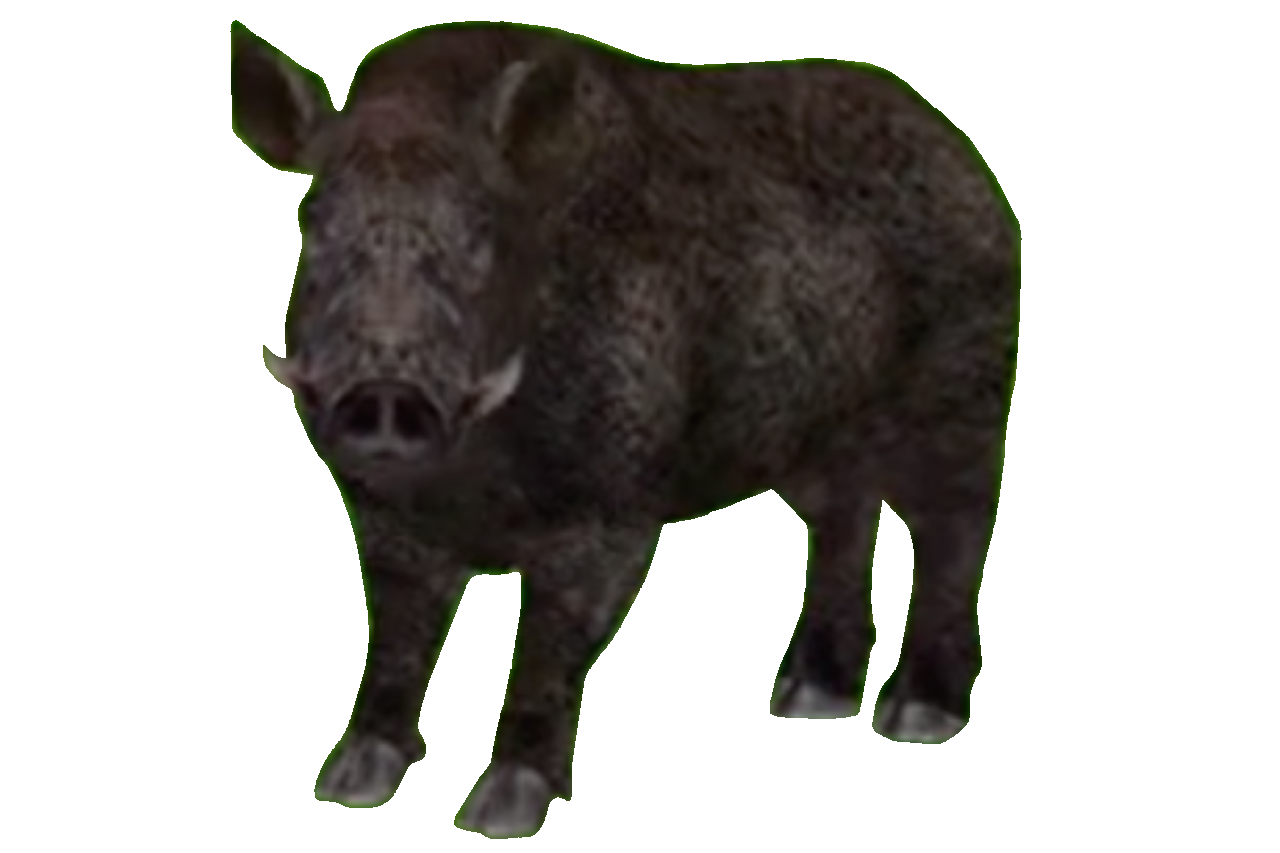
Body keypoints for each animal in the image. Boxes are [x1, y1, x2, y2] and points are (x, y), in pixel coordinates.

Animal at [233, 24, 1018, 836]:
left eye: (481, 230)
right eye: (314, 221)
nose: (385, 390)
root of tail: (968, 160)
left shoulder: (612, 504)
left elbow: (553, 639)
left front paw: (499, 812)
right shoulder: (383, 513)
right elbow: (398, 627)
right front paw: (347, 782)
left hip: (964, 389)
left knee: (955, 527)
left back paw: (916, 715)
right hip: (815, 439)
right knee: (845, 519)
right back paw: (807, 699)